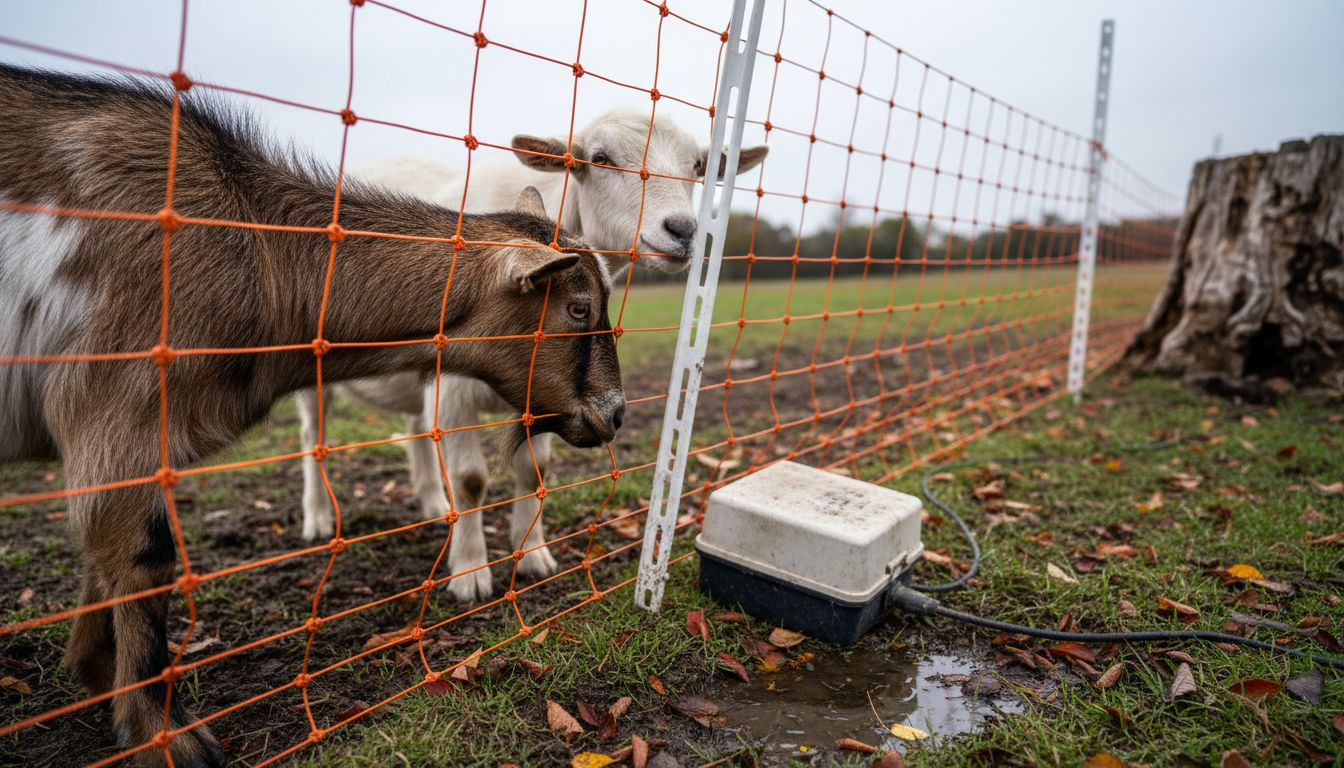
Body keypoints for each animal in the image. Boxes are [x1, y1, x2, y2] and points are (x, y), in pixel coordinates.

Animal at [0, 64, 622, 767]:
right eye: (577, 308)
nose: (615, 413)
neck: (256, 248)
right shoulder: (115, 405)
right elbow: (146, 561)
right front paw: (165, 735)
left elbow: (103, 556)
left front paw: (94, 672)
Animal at [298, 110, 767, 601]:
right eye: (599, 157)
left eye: (697, 166)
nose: (683, 230)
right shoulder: (454, 387)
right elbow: (470, 480)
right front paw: (470, 573)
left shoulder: (551, 388)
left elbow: (534, 470)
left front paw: (533, 556)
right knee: (314, 438)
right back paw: (318, 519)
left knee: (415, 429)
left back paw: (431, 502)